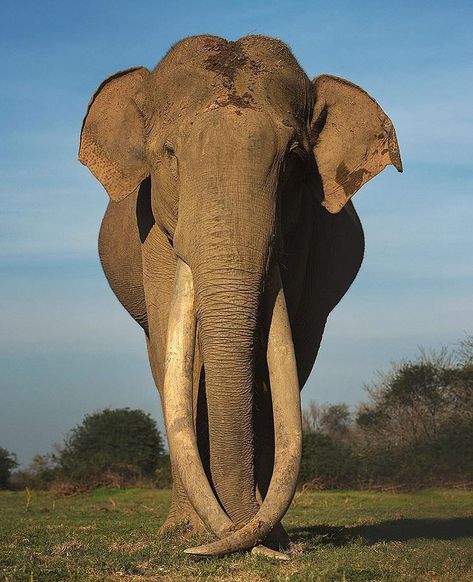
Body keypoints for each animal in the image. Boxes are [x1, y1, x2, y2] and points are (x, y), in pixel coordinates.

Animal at [79, 34, 400, 560]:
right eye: (169, 152)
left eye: (295, 161)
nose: (238, 535)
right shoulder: (154, 232)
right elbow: (182, 363)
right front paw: (190, 537)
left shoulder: (305, 237)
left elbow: (280, 364)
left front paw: (270, 538)